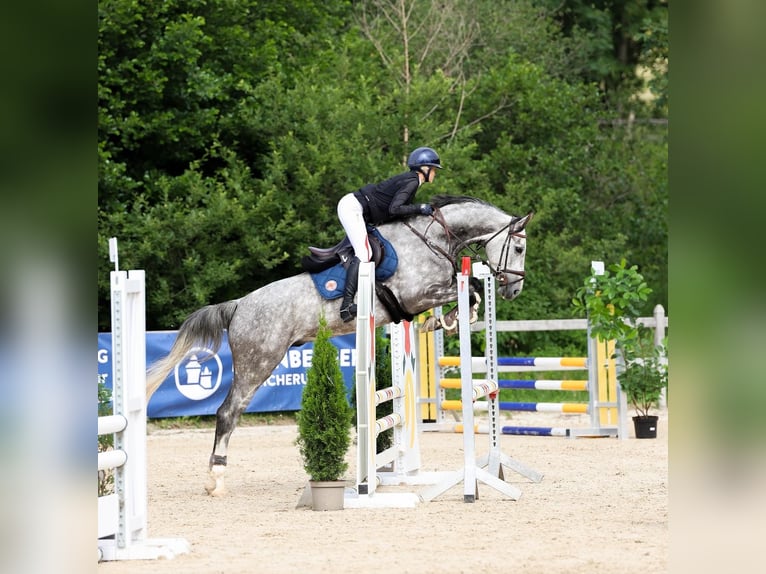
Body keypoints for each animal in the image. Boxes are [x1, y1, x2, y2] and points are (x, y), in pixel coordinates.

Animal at [147, 197, 532, 496]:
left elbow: (465, 292)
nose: (514, 290)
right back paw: (215, 479)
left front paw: (444, 321)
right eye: (519, 247)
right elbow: (470, 289)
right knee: (228, 412)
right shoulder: (418, 293)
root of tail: (239, 304)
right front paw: (452, 317)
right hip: (259, 361)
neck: (432, 238)